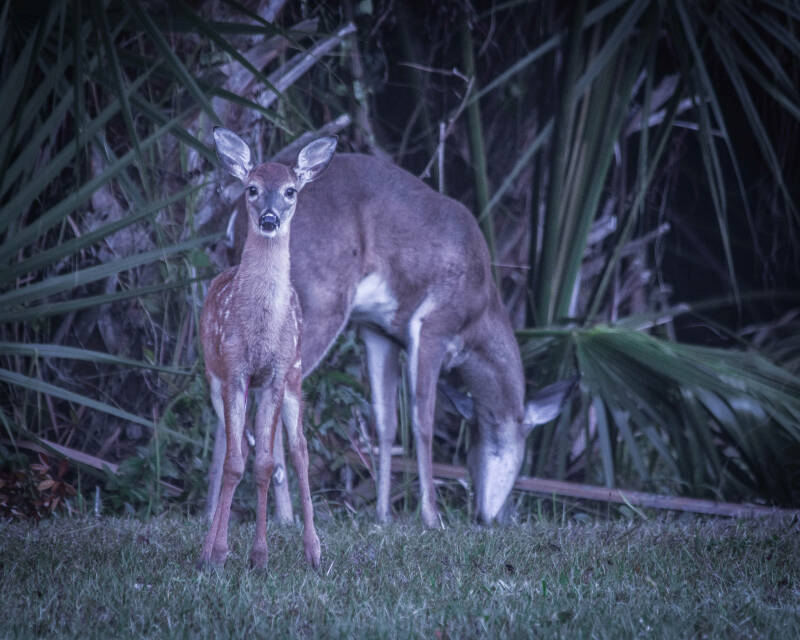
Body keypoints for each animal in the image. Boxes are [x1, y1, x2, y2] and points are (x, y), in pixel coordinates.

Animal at [197, 127, 336, 570]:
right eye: (252, 188)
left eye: (291, 190)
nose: (269, 219)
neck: (258, 329)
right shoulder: (235, 370)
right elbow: (235, 463)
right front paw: (216, 553)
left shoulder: (275, 374)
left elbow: (264, 463)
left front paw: (259, 555)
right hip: (215, 377)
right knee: (235, 448)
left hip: (295, 374)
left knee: (299, 449)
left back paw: (314, 551)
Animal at [205, 136, 575, 529]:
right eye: (513, 447)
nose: (491, 516)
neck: (480, 314)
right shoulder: (433, 325)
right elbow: (422, 420)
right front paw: (431, 517)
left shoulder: (377, 330)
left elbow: (386, 423)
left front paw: (383, 515)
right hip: (321, 303)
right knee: (271, 390)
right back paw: (285, 516)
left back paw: (212, 511)